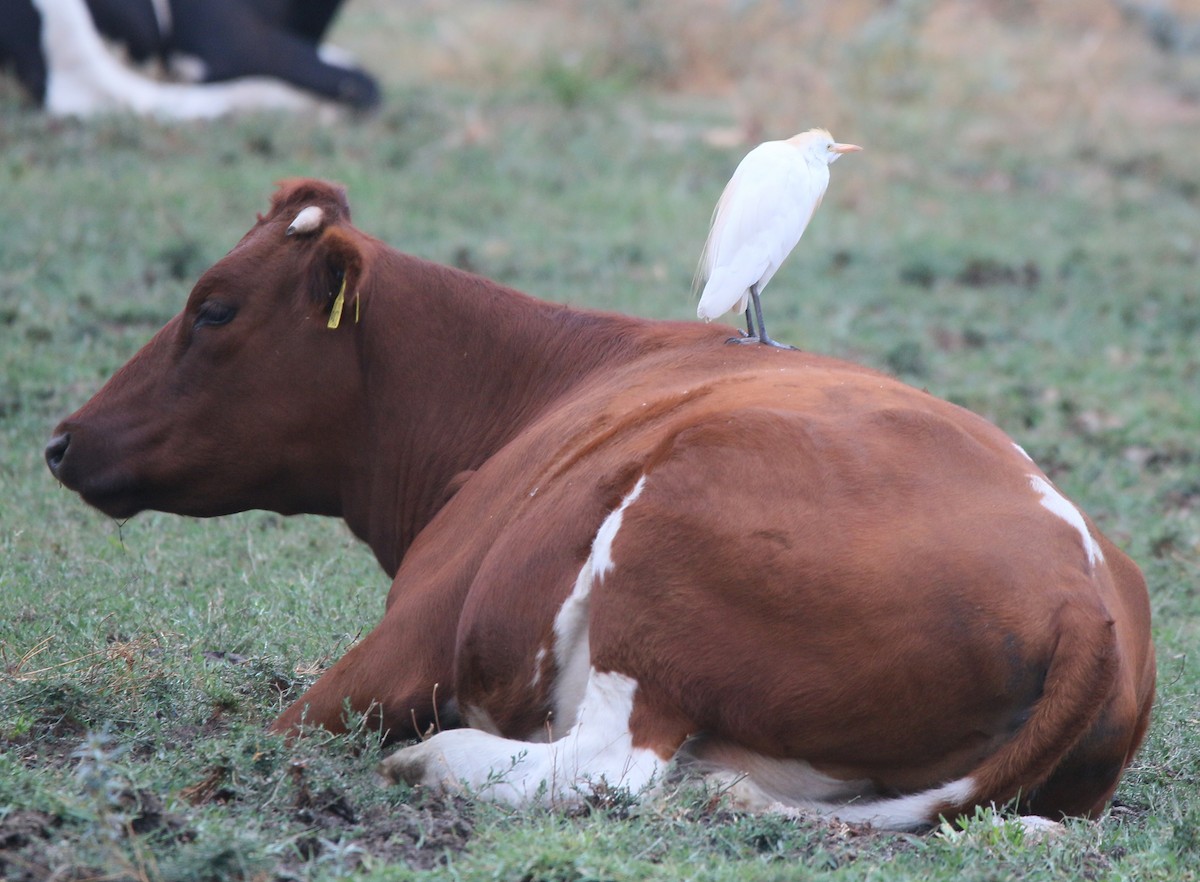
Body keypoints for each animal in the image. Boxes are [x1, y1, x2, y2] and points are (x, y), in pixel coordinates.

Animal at [44, 181, 1152, 835]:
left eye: (213, 308)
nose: (62, 439)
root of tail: (1084, 590)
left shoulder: (410, 635)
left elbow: (276, 732)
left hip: (664, 558)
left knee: (608, 765)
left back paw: (433, 762)